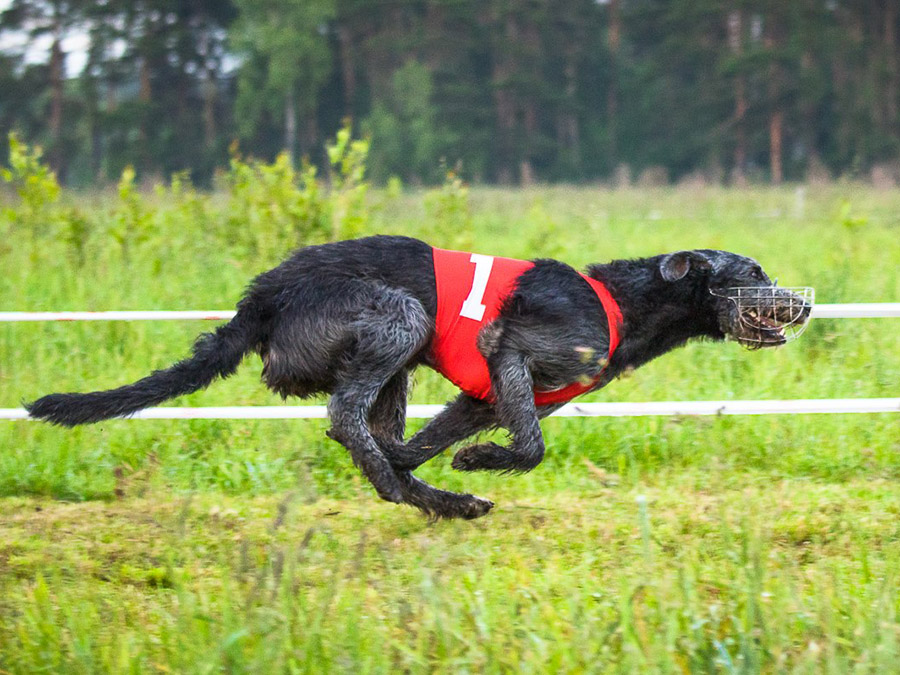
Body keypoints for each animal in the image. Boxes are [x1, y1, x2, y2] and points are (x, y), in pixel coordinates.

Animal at [24, 235, 812, 520]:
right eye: (753, 271)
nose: (803, 302)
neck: (618, 301)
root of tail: (259, 299)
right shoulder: (509, 353)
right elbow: (529, 447)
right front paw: (476, 461)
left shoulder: (482, 395)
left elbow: (434, 436)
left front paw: (442, 463)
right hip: (399, 315)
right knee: (344, 417)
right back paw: (425, 489)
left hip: (397, 357)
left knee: (372, 431)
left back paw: (437, 499)